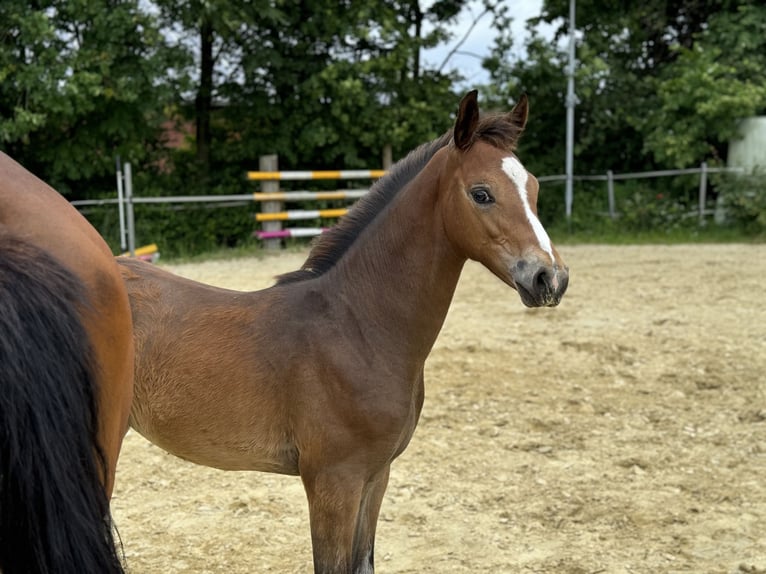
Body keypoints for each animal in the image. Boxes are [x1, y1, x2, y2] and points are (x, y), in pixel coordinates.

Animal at [117, 92, 568, 572]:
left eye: (534, 188)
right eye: (482, 193)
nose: (550, 278)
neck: (358, 328)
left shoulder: (376, 475)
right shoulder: (333, 482)